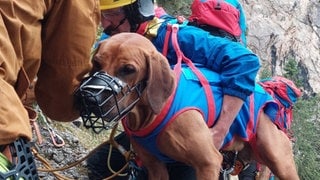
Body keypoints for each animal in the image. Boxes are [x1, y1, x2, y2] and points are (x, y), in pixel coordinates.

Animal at [90, 33, 300, 179]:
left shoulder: (208, 163)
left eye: (128, 69)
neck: (149, 114)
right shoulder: (155, 167)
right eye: (96, 63)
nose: (92, 98)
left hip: (280, 163)